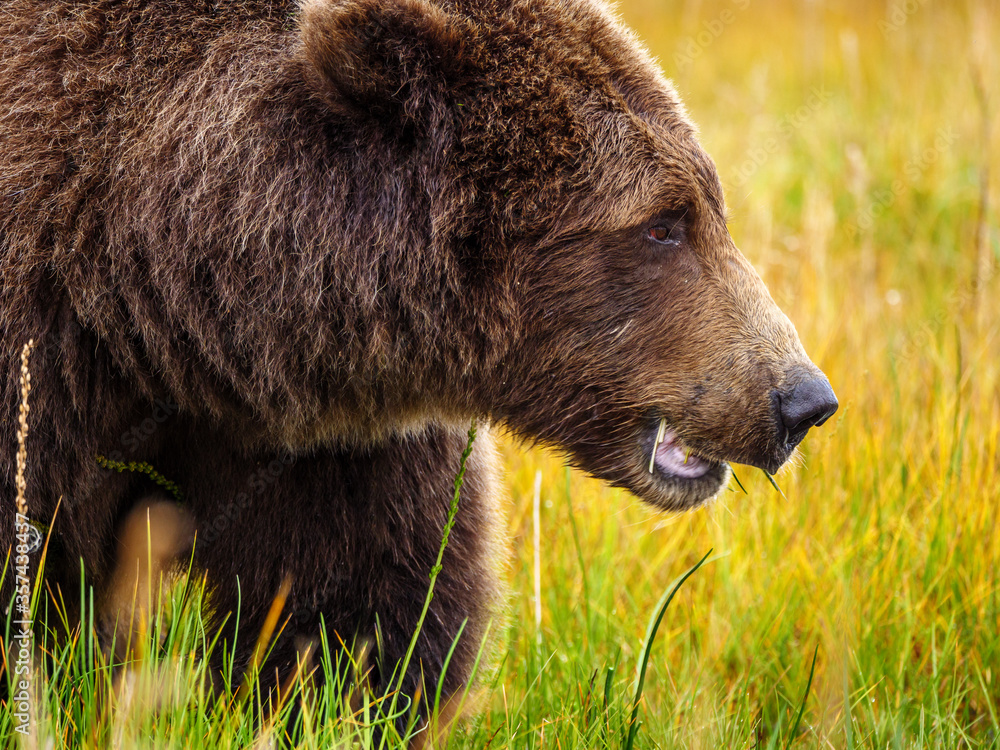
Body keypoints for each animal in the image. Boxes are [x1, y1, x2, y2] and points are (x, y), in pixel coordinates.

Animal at [0, 0, 836, 724]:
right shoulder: (46, 368)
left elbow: (359, 599)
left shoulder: (321, 440)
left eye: (707, 204)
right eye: (662, 223)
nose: (802, 400)